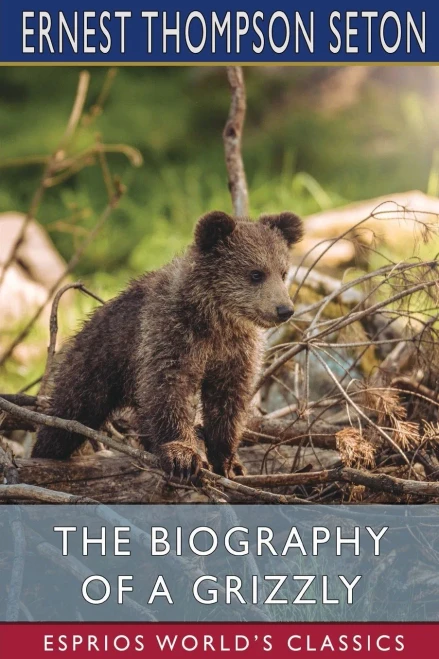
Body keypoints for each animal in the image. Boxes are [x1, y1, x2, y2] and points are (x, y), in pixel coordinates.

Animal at [32, 210, 303, 479]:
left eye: (283, 272)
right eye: (256, 273)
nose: (284, 310)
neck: (216, 320)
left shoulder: (235, 352)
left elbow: (228, 401)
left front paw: (229, 462)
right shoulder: (171, 335)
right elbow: (169, 390)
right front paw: (183, 456)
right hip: (97, 363)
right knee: (69, 413)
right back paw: (45, 452)